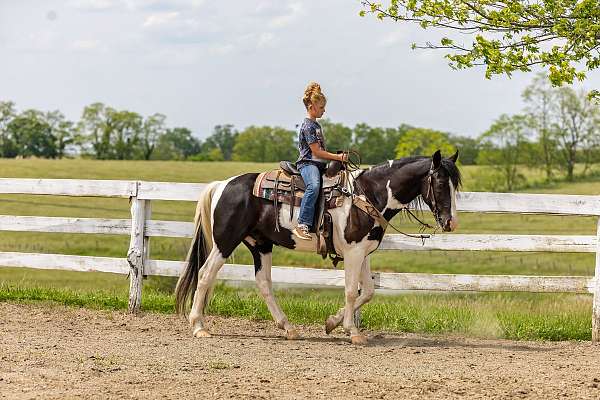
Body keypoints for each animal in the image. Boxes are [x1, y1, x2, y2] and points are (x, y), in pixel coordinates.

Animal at [173, 149, 460, 344]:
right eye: (440, 183)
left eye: (455, 184)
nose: (451, 222)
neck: (368, 194)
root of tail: (222, 185)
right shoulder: (353, 253)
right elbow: (351, 291)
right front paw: (353, 332)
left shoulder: (363, 252)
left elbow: (367, 292)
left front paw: (331, 323)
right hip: (226, 241)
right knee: (205, 274)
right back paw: (199, 326)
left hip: (260, 244)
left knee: (264, 283)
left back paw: (288, 328)